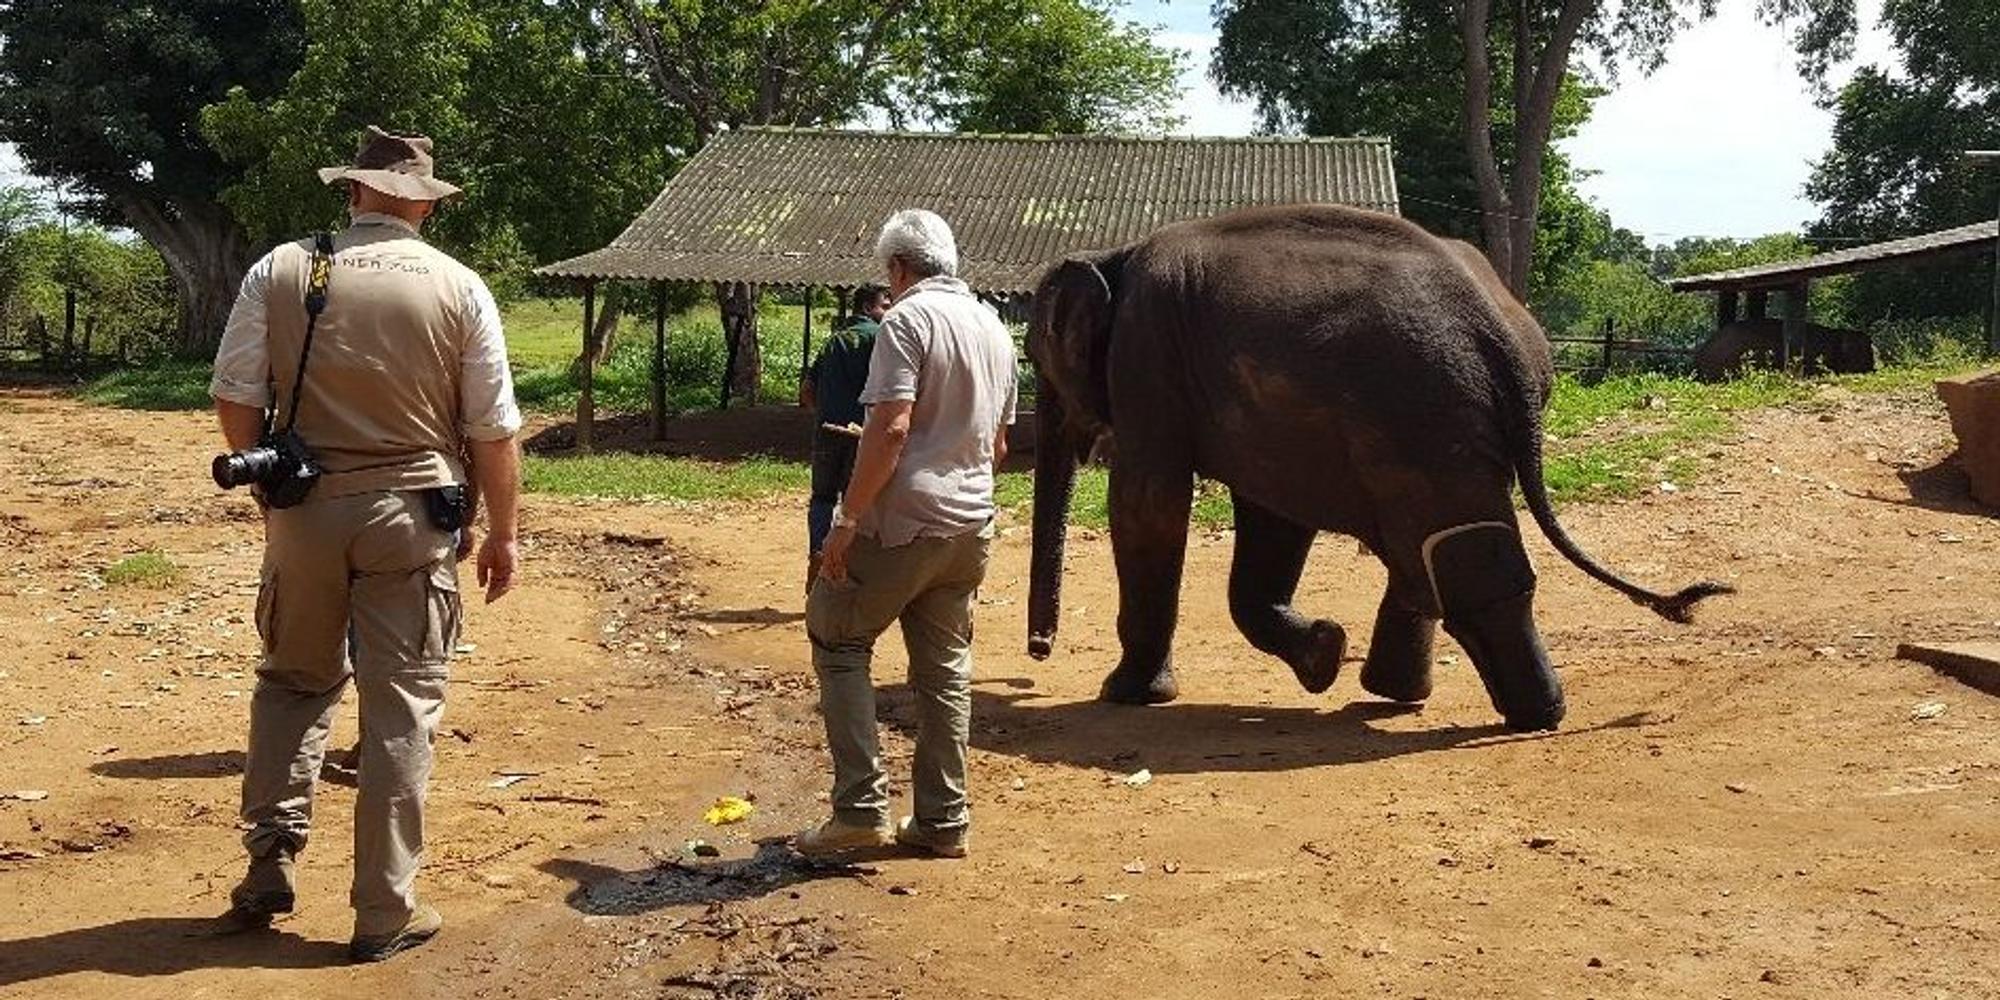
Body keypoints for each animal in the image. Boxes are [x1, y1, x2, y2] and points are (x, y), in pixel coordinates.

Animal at [1024, 205, 1732, 732]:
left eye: (1033, 355)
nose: (1038, 653)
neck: (1113, 253)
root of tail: (1500, 331)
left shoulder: (1147, 360)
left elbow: (1149, 504)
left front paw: (1126, 694)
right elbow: (1273, 518)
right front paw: (1323, 654)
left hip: (1423, 415)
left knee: (1453, 553)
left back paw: (1522, 715)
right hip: (1435, 430)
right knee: (1427, 550)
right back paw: (1416, 696)